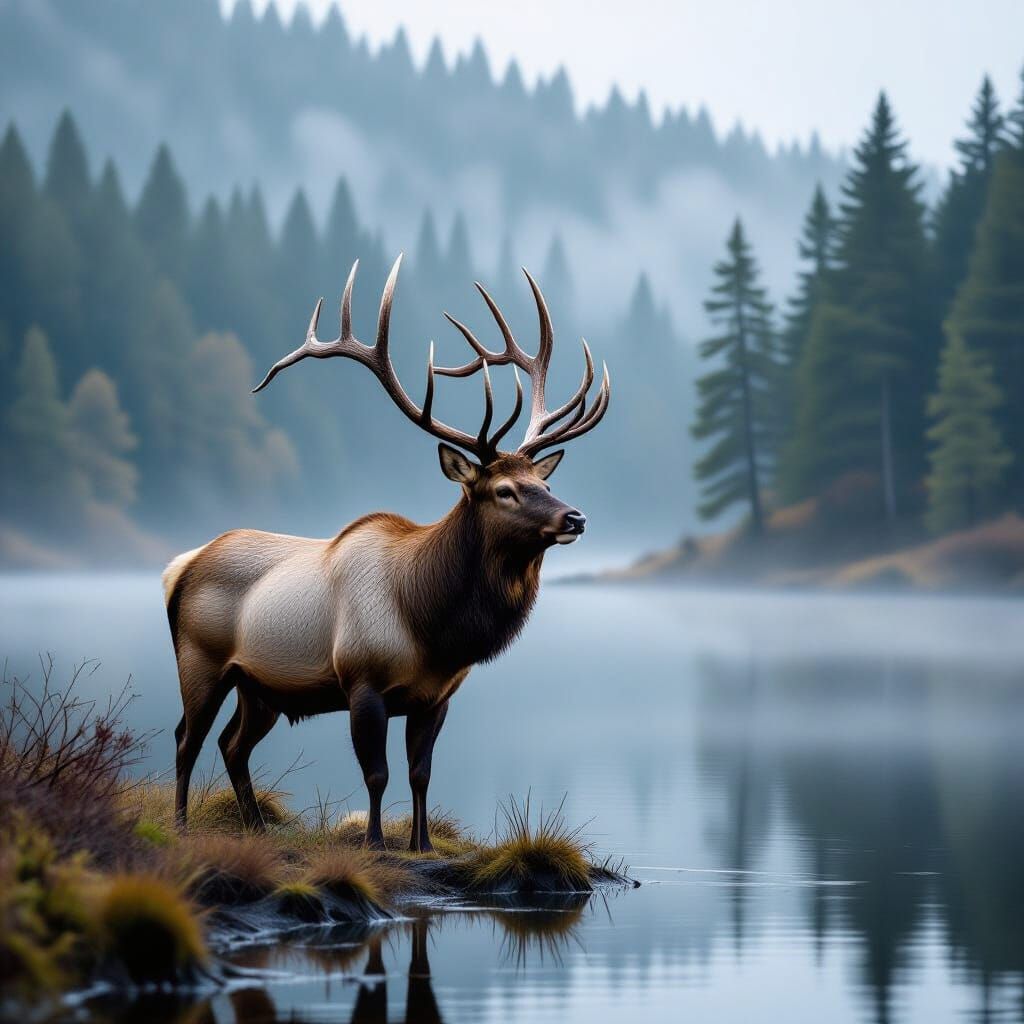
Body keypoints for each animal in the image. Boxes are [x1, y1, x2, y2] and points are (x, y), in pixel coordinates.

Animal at [162, 254, 610, 851]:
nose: (574, 518)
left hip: (260, 687)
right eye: (504, 490)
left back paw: (256, 827)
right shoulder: (362, 681)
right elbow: (377, 773)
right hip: (200, 660)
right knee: (187, 737)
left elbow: (421, 774)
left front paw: (422, 845)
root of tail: (180, 566)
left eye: (543, 479)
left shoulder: (437, 696)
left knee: (233, 745)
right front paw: (376, 842)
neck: (431, 625)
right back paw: (180, 825)